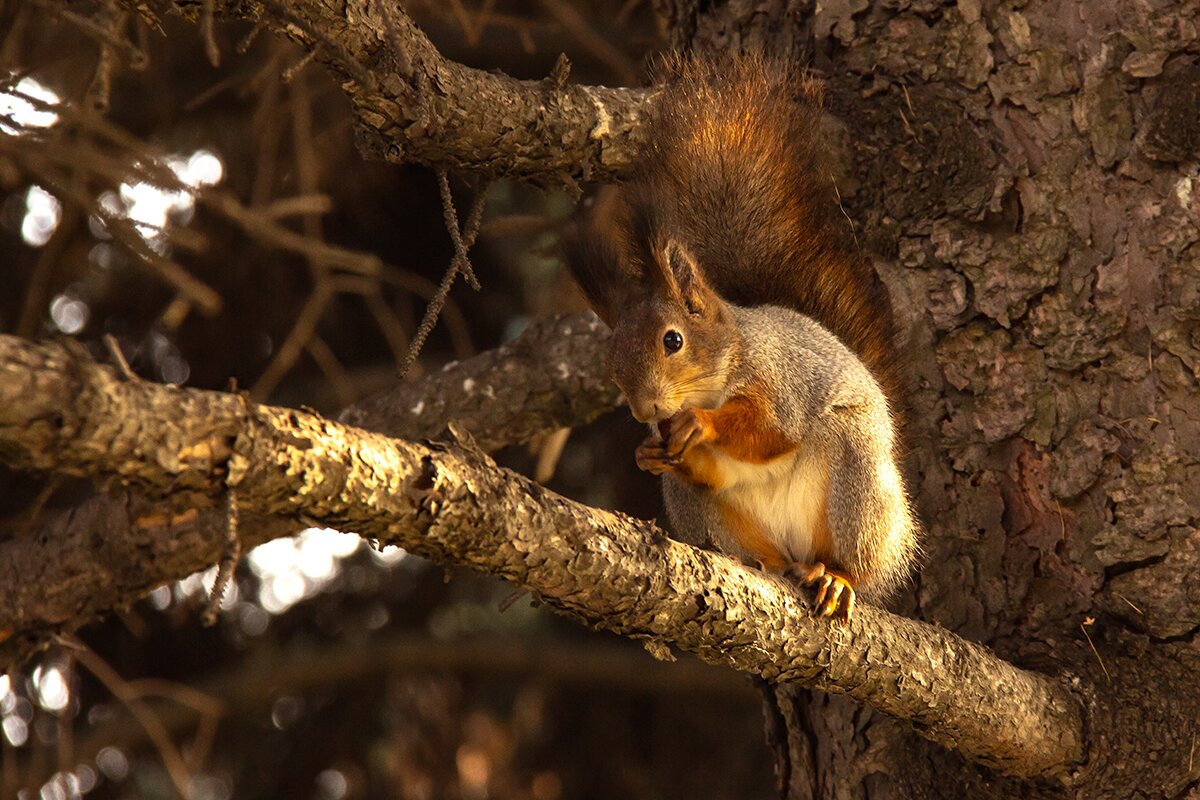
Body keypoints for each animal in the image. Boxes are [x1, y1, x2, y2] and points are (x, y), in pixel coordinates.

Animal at [561, 54, 916, 618]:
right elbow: (712, 470)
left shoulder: (780, 380)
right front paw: (647, 454)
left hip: (856, 474)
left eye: (673, 341)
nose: (646, 410)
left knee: (854, 559)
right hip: (706, 514)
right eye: (611, 365)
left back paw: (836, 577)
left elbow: (770, 429)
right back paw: (764, 562)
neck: (724, 366)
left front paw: (703, 424)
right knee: (756, 545)